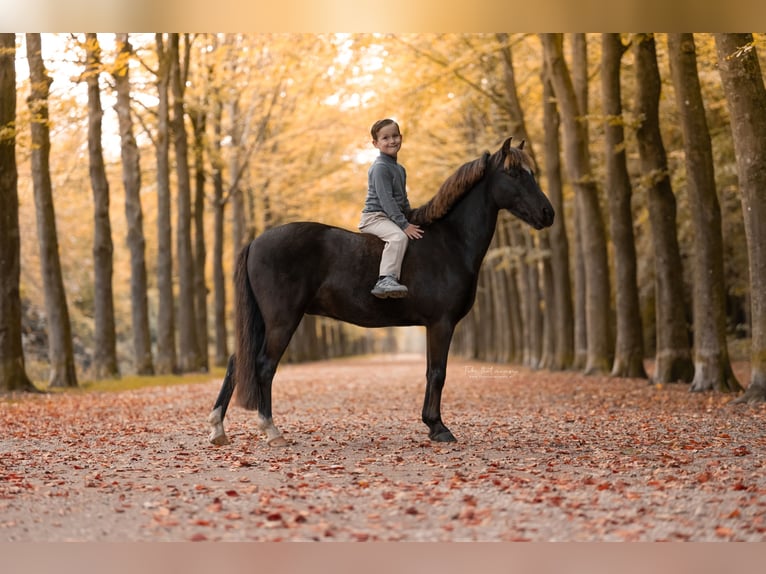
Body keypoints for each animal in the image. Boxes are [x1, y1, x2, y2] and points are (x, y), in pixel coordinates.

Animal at [208, 137, 554, 447]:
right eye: (515, 173)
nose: (548, 213)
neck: (450, 241)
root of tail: (256, 241)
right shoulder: (441, 324)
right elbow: (437, 373)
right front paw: (438, 428)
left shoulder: (434, 325)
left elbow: (431, 372)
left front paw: (432, 425)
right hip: (282, 320)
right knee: (264, 365)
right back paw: (271, 430)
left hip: (263, 321)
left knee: (236, 362)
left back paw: (217, 429)